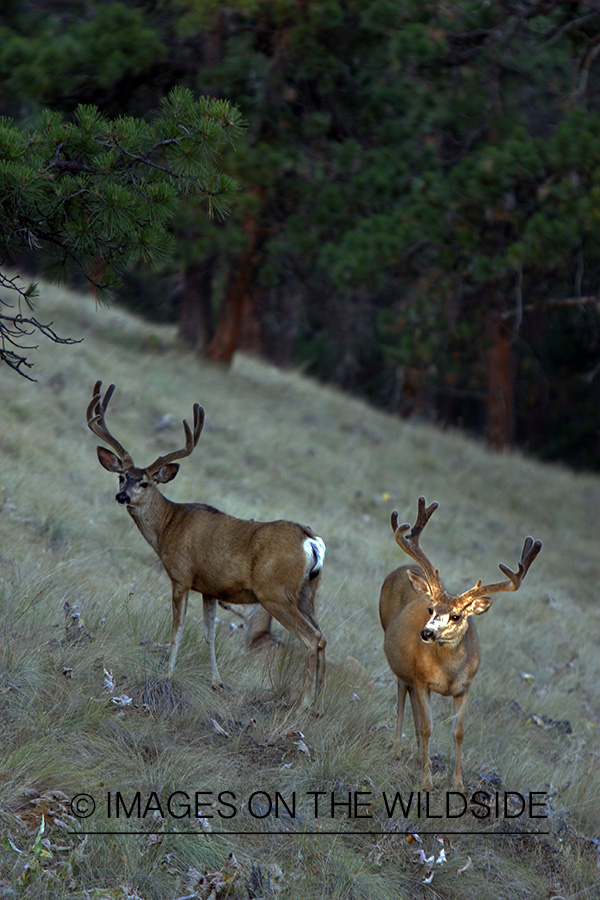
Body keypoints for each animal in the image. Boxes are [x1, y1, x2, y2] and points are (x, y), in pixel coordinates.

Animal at [86, 381, 327, 712]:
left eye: (145, 483)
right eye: (122, 477)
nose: (122, 497)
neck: (167, 527)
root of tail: (311, 541)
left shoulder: (181, 576)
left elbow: (177, 629)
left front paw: (168, 673)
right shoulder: (210, 588)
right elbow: (209, 634)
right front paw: (216, 681)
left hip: (275, 591)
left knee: (312, 638)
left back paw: (302, 705)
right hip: (307, 593)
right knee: (324, 638)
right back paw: (317, 705)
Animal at [379, 496, 541, 791]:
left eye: (456, 615)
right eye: (430, 609)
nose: (426, 633)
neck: (448, 673)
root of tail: (402, 569)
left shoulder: (466, 687)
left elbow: (459, 732)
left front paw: (458, 784)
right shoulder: (421, 678)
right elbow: (428, 727)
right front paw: (427, 780)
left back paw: (418, 754)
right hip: (401, 663)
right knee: (402, 694)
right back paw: (398, 750)